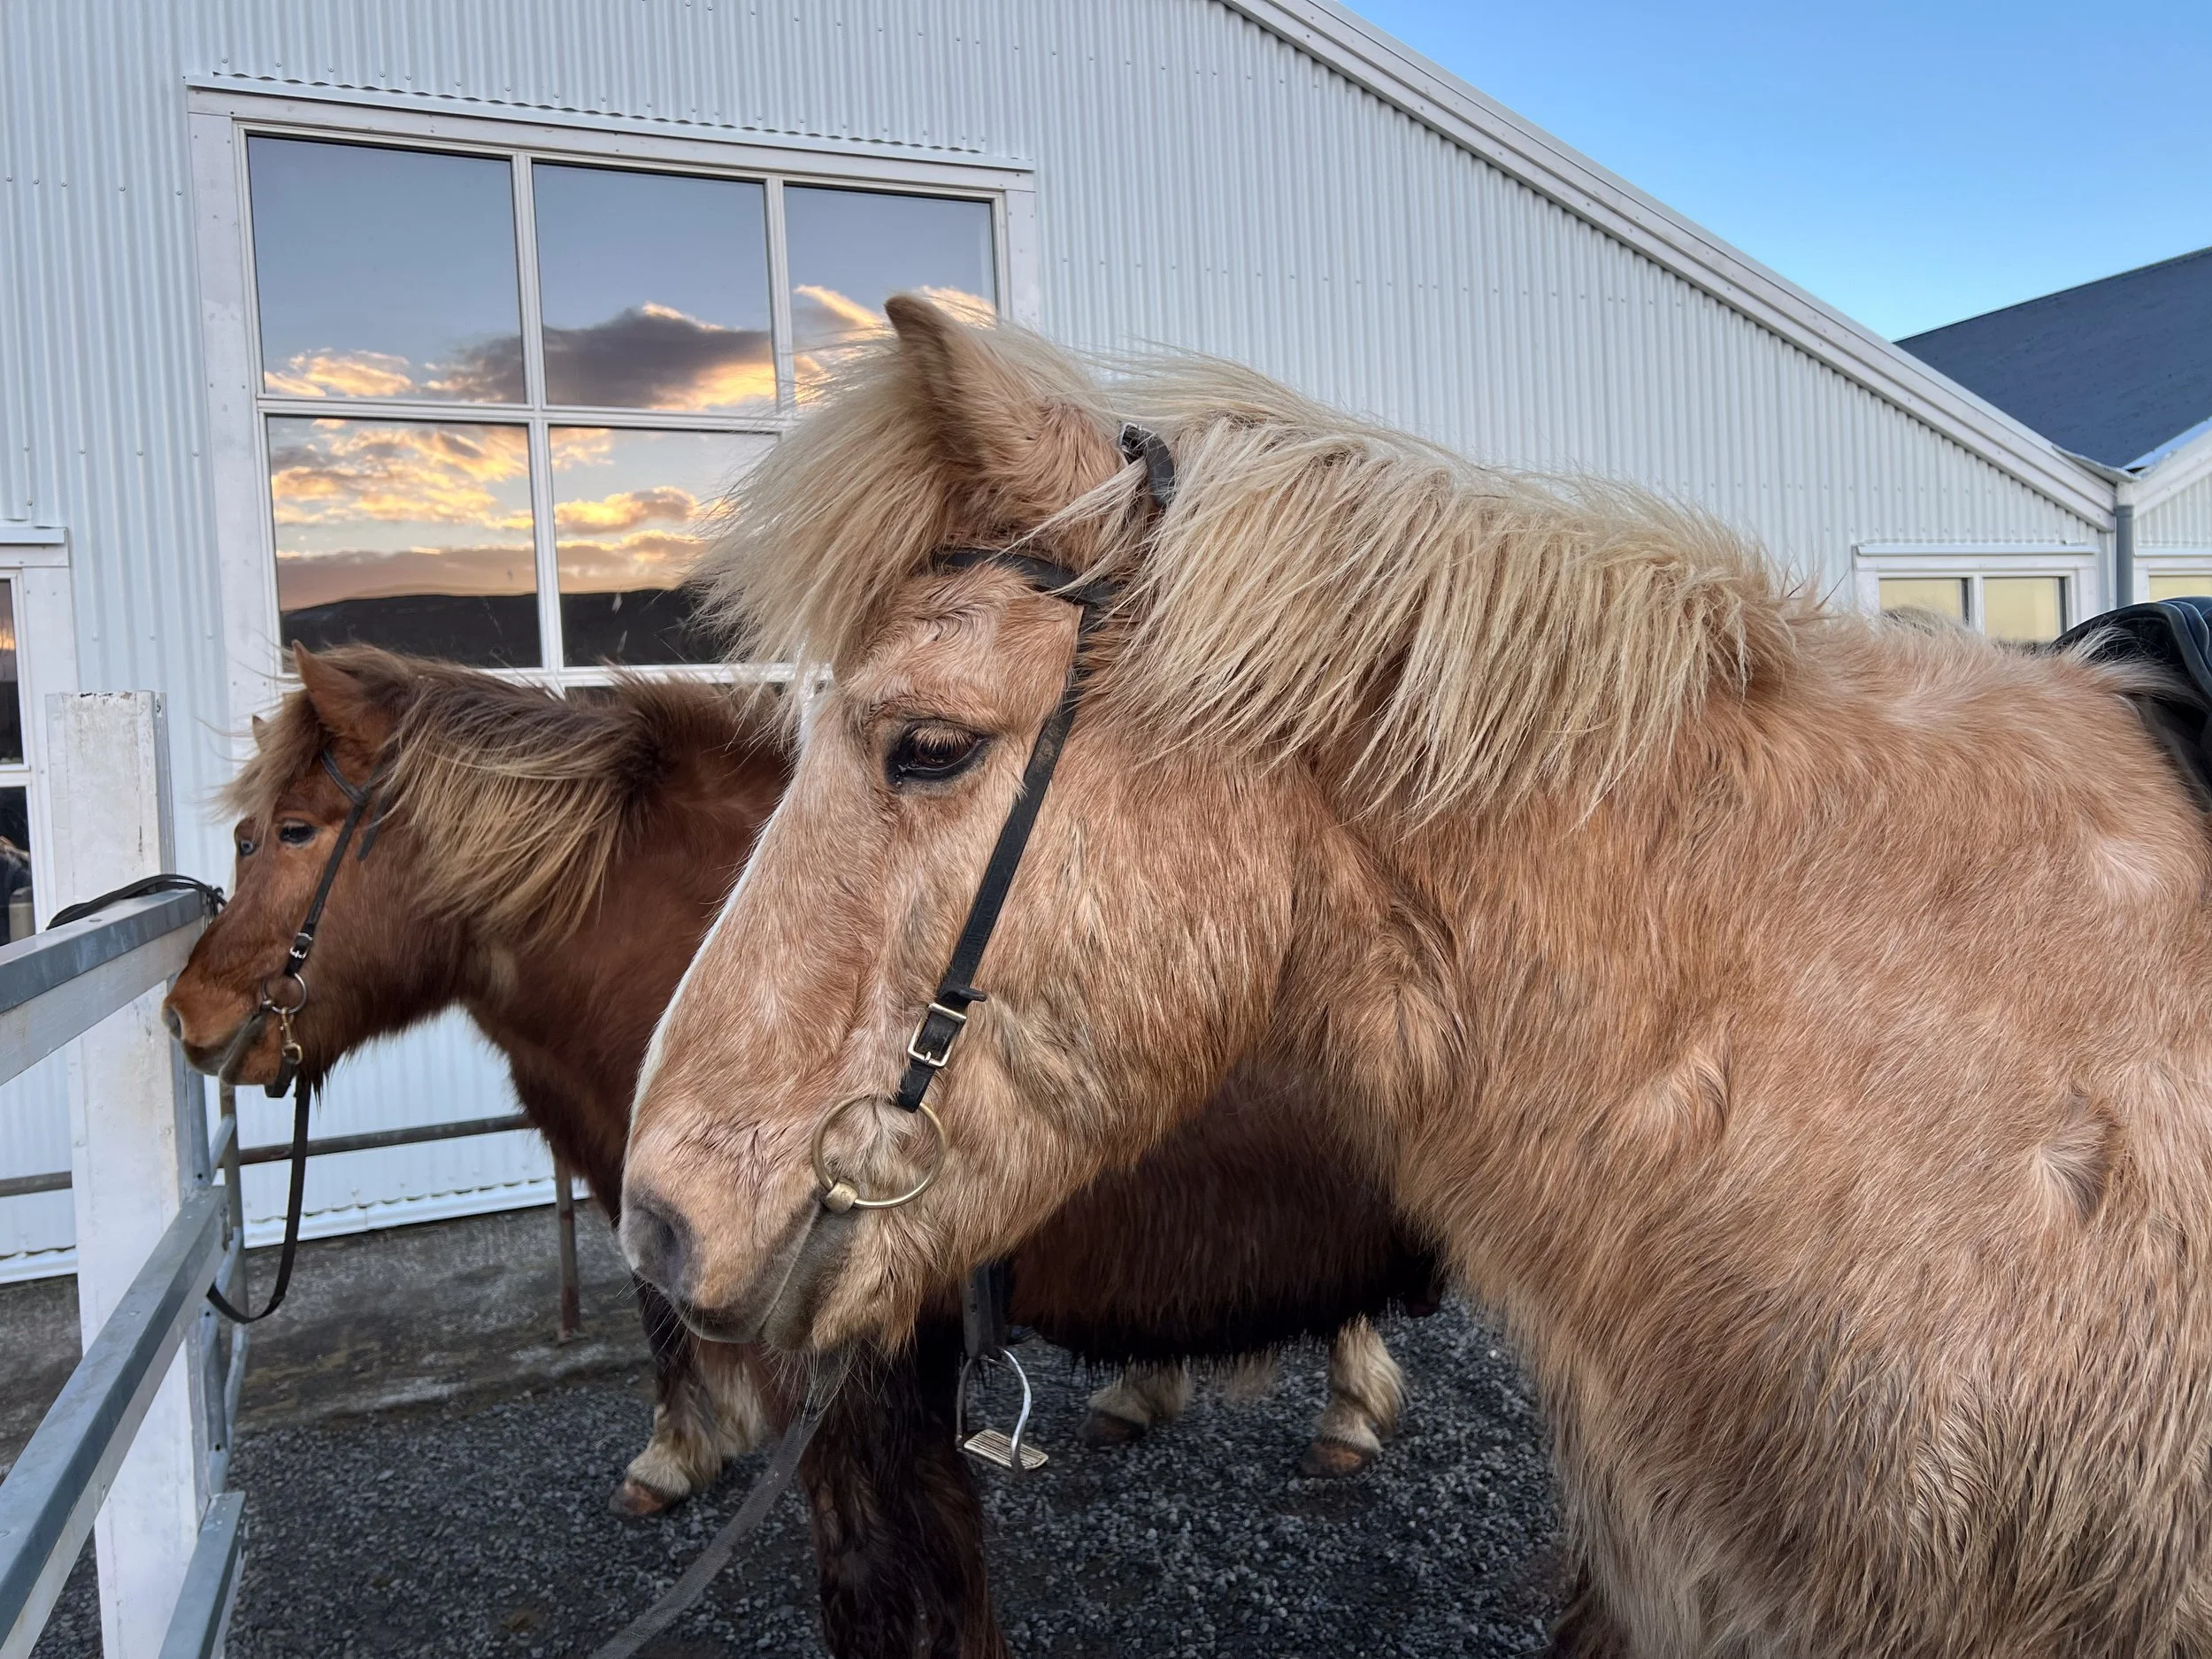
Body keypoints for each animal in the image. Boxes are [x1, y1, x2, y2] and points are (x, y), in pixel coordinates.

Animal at [163, 644, 1437, 1657]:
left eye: (291, 831)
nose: (188, 1015)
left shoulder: (850, 1357)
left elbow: (885, 1570)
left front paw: (681, 1451)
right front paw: (681, 1451)